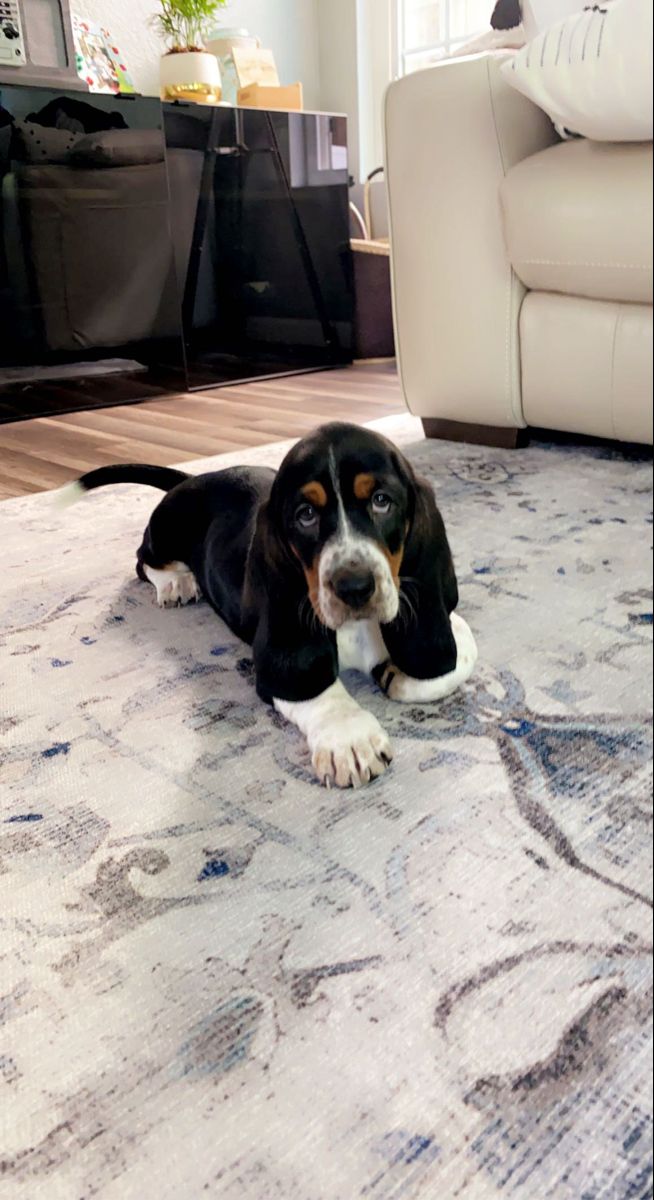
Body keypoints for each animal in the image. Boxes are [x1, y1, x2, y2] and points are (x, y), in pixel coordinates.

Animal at [63, 422, 477, 787]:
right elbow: (315, 689)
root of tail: (192, 478)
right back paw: (177, 582)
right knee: (142, 559)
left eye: (381, 501)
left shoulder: (446, 621)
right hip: (166, 529)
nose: (354, 588)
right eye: (305, 515)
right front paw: (349, 738)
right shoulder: (276, 657)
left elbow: (455, 663)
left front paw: (396, 676)